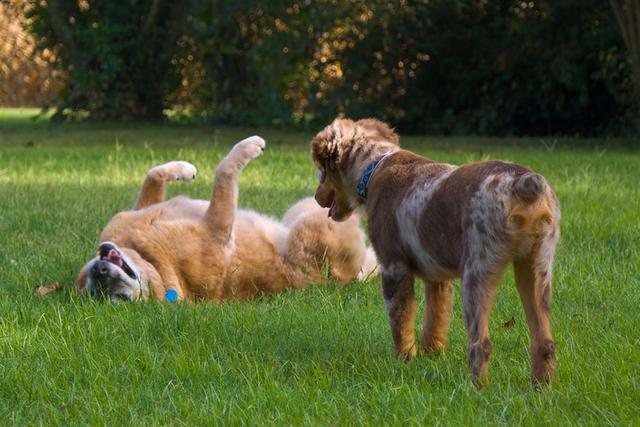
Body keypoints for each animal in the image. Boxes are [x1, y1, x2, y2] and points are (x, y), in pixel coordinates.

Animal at [310, 118, 560, 386]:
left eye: (321, 172)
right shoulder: (437, 277)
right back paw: (539, 388)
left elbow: (401, 320)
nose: (316, 198)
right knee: (544, 343)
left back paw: (477, 389)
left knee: (481, 344)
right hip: (537, 269)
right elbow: (435, 319)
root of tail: (520, 183)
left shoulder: (394, 268)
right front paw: (431, 356)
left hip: (477, 272)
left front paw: (404, 360)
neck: (375, 166)